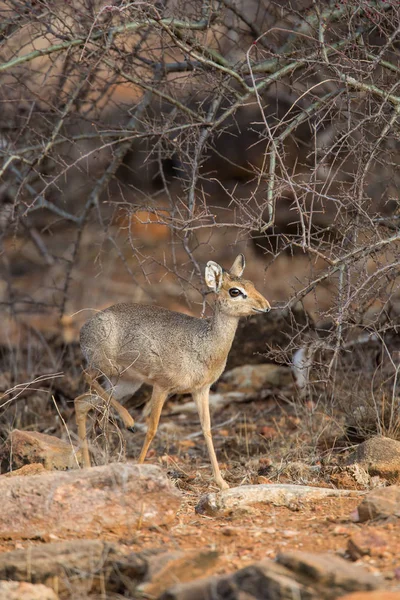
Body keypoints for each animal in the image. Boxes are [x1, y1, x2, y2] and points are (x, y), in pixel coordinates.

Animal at [76, 255, 268, 490]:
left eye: (252, 284)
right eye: (235, 291)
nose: (266, 307)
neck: (204, 344)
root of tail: (85, 327)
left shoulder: (201, 390)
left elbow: (207, 429)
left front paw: (221, 482)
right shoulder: (162, 386)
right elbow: (152, 428)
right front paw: (139, 469)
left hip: (125, 384)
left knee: (82, 402)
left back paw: (87, 467)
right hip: (105, 367)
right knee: (85, 377)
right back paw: (128, 422)